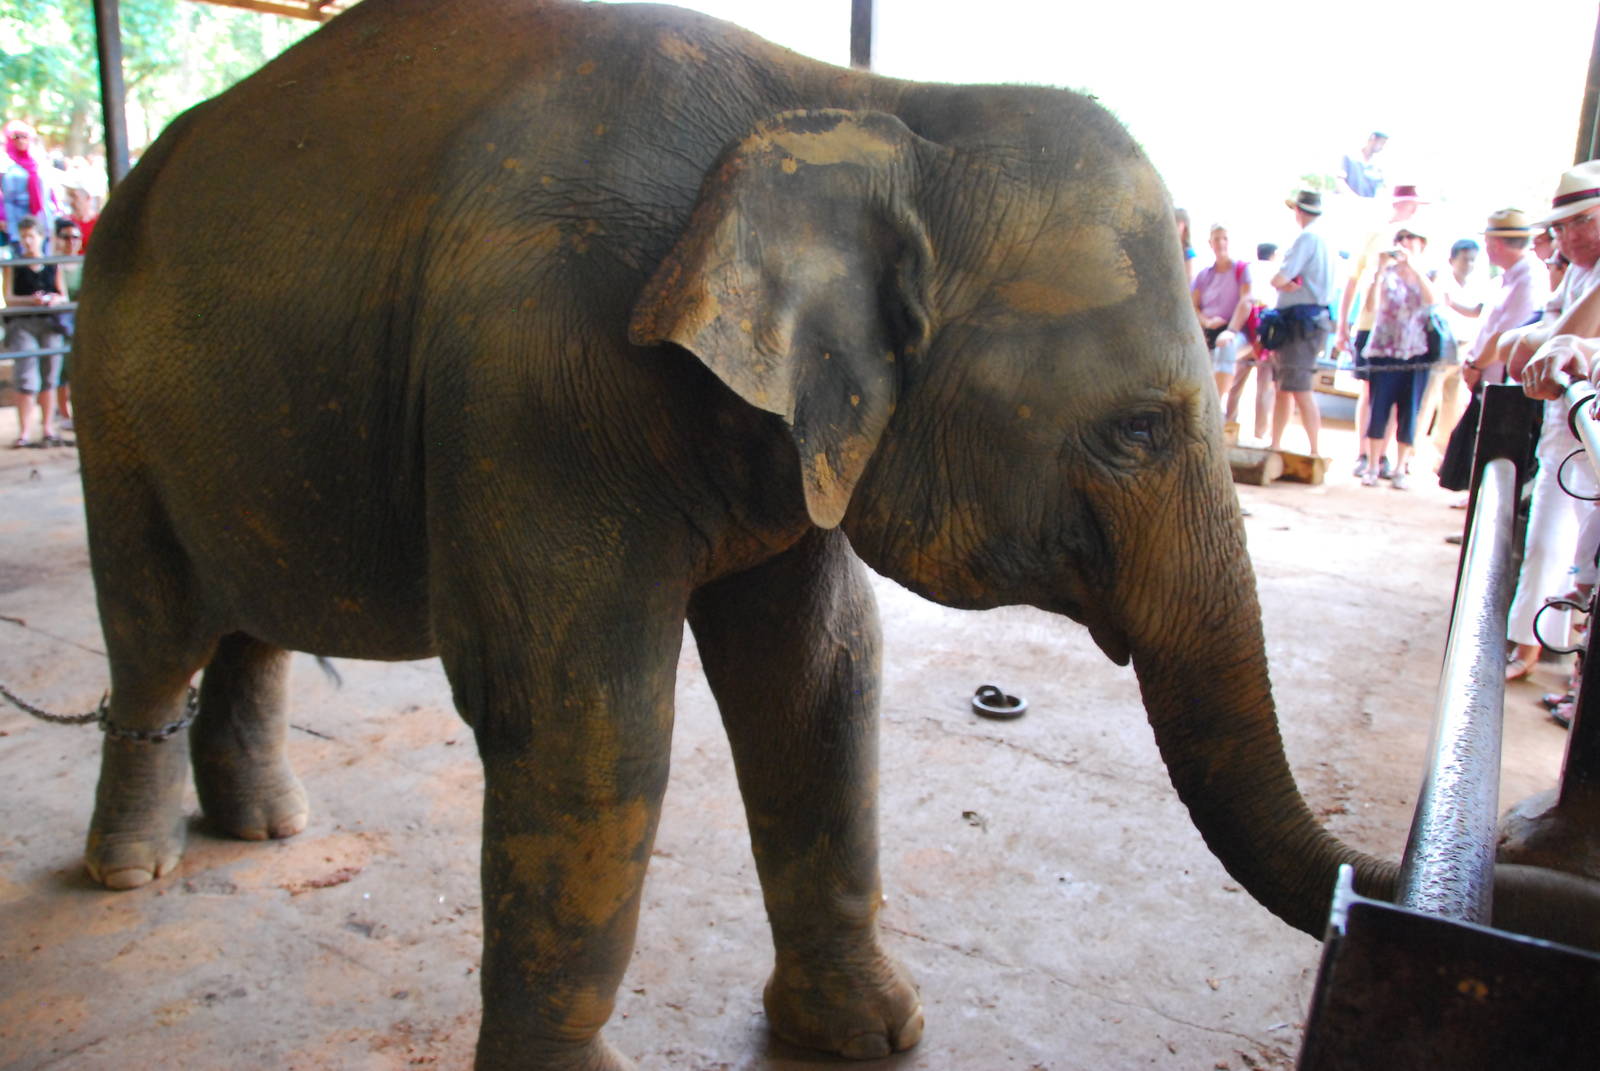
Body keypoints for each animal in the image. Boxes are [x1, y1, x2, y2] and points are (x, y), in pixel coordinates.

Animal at [67, 0, 1600, 1068]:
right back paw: (131, 869)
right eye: (1133, 433)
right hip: (109, 394)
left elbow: (819, 677)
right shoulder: (533, 381)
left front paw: (872, 1035)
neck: (863, 101)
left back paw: (263, 829)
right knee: (152, 627)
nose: (1496, 890)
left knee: (248, 615)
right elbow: (586, 722)